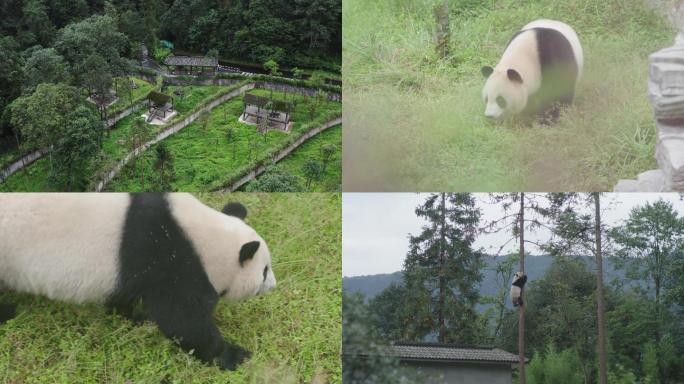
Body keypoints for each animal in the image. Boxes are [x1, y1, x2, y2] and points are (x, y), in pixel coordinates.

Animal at [1, 194, 278, 370]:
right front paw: (234, 356)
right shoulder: (167, 253)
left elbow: (126, 296)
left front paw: (136, 318)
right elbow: (182, 320)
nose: (274, 286)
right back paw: (8, 312)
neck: (201, 237)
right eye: (264, 271)